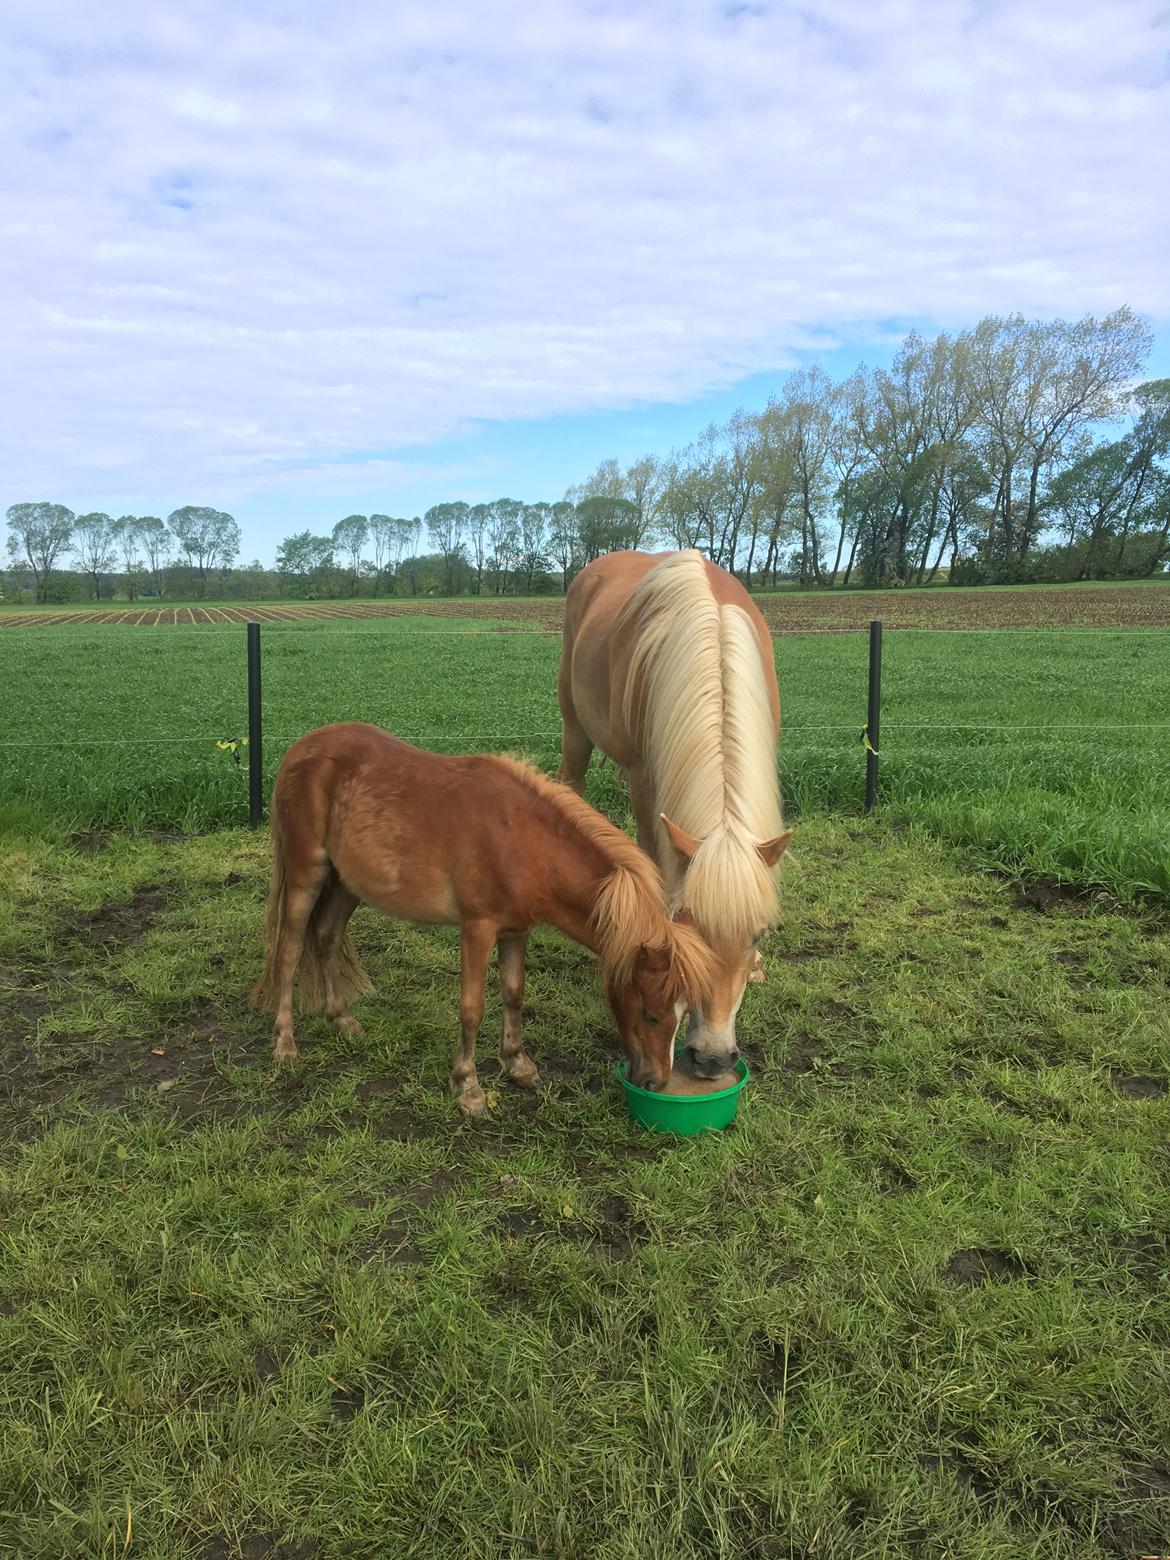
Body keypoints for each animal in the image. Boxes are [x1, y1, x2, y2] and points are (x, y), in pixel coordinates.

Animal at [252, 723, 720, 1116]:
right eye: (651, 1013)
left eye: (682, 1014)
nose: (655, 1082)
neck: (524, 841)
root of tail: (301, 748)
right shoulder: (477, 929)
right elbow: (472, 1007)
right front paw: (468, 1087)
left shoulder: (517, 931)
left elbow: (513, 993)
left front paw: (519, 1065)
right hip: (307, 874)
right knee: (290, 950)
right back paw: (285, 1045)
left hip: (347, 883)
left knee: (327, 937)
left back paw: (342, 1021)